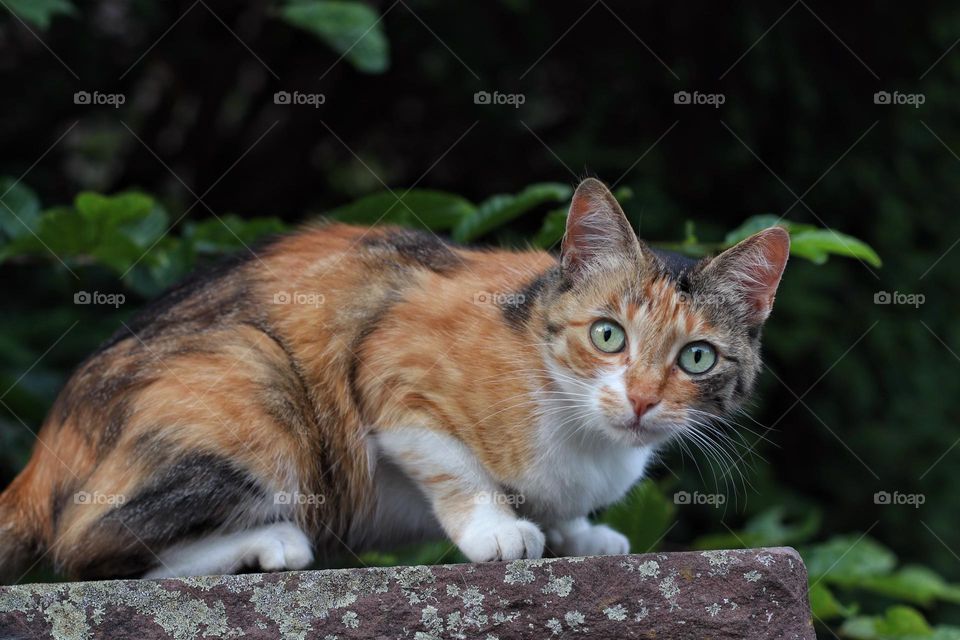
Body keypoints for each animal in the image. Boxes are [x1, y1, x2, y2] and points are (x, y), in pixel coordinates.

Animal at [0, 178, 788, 584]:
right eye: (607, 335)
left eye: (697, 358)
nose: (643, 399)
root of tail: (38, 463)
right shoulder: (390, 365)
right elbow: (453, 464)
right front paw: (499, 530)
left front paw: (581, 533)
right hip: (254, 375)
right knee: (90, 548)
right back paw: (269, 544)